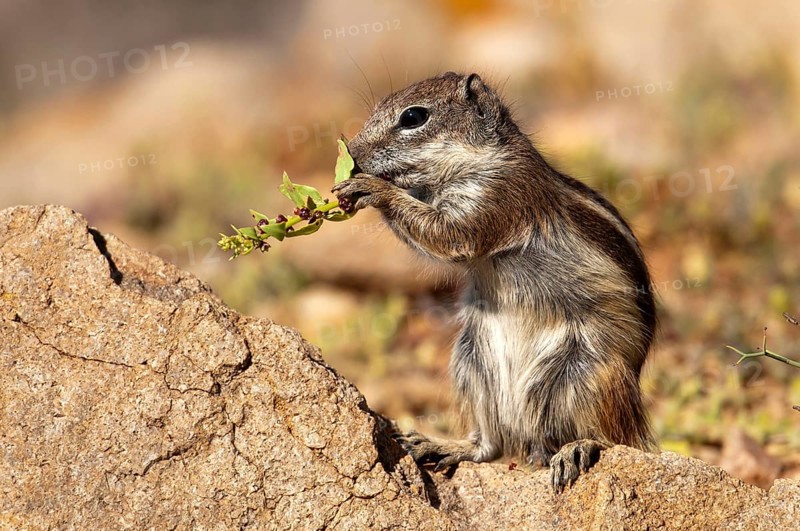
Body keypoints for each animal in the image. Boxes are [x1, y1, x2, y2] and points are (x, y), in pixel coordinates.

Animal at [332, 72, 656, 492]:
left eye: (413, 117)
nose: (353, 155)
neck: (479, 158)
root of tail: (532, 441)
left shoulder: (493, 200)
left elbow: (447, 235)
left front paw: (373, 189)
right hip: (472, 363)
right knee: (491, 446)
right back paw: (444, 445)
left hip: (593, 375)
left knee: (615, 438)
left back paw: (578, 448)